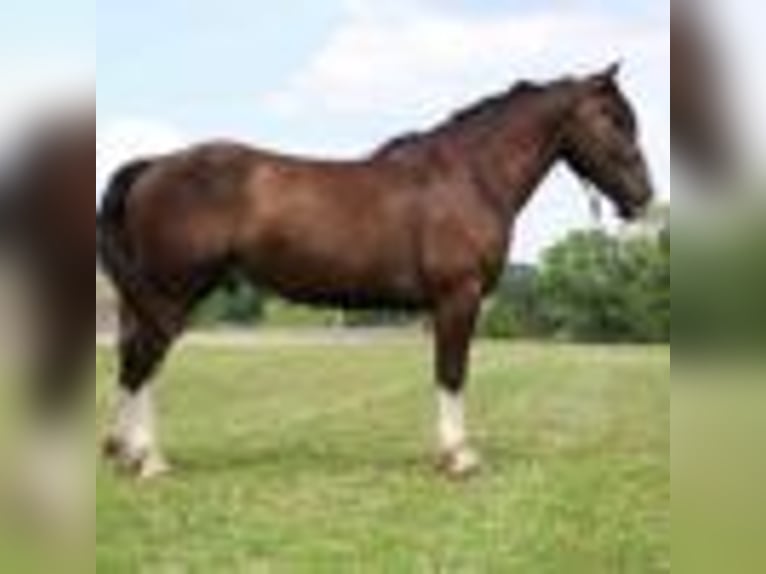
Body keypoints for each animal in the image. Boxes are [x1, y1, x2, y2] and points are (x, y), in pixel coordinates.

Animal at [98, 64, 654, 479]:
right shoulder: (459, 296)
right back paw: (149, 460)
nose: (643, 197)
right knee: (144, 362)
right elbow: (452, 373)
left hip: (146, 297)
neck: (469, 175)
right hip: (170, 294)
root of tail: (153, 165)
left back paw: (126, 452)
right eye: (613, 119)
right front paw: (459, 457)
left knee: (132, 361)